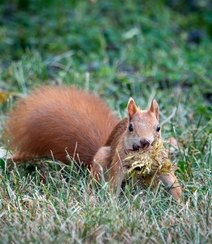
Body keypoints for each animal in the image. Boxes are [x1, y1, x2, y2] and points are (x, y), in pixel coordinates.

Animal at [3, 86, 181, 200]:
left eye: (158, 128)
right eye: (130, 127)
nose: (145, 141)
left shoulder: (162, 160)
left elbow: (172, 181)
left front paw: (181, 204)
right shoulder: (119, 161)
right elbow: (115, 182)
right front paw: (113, 205)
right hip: (102, 158)